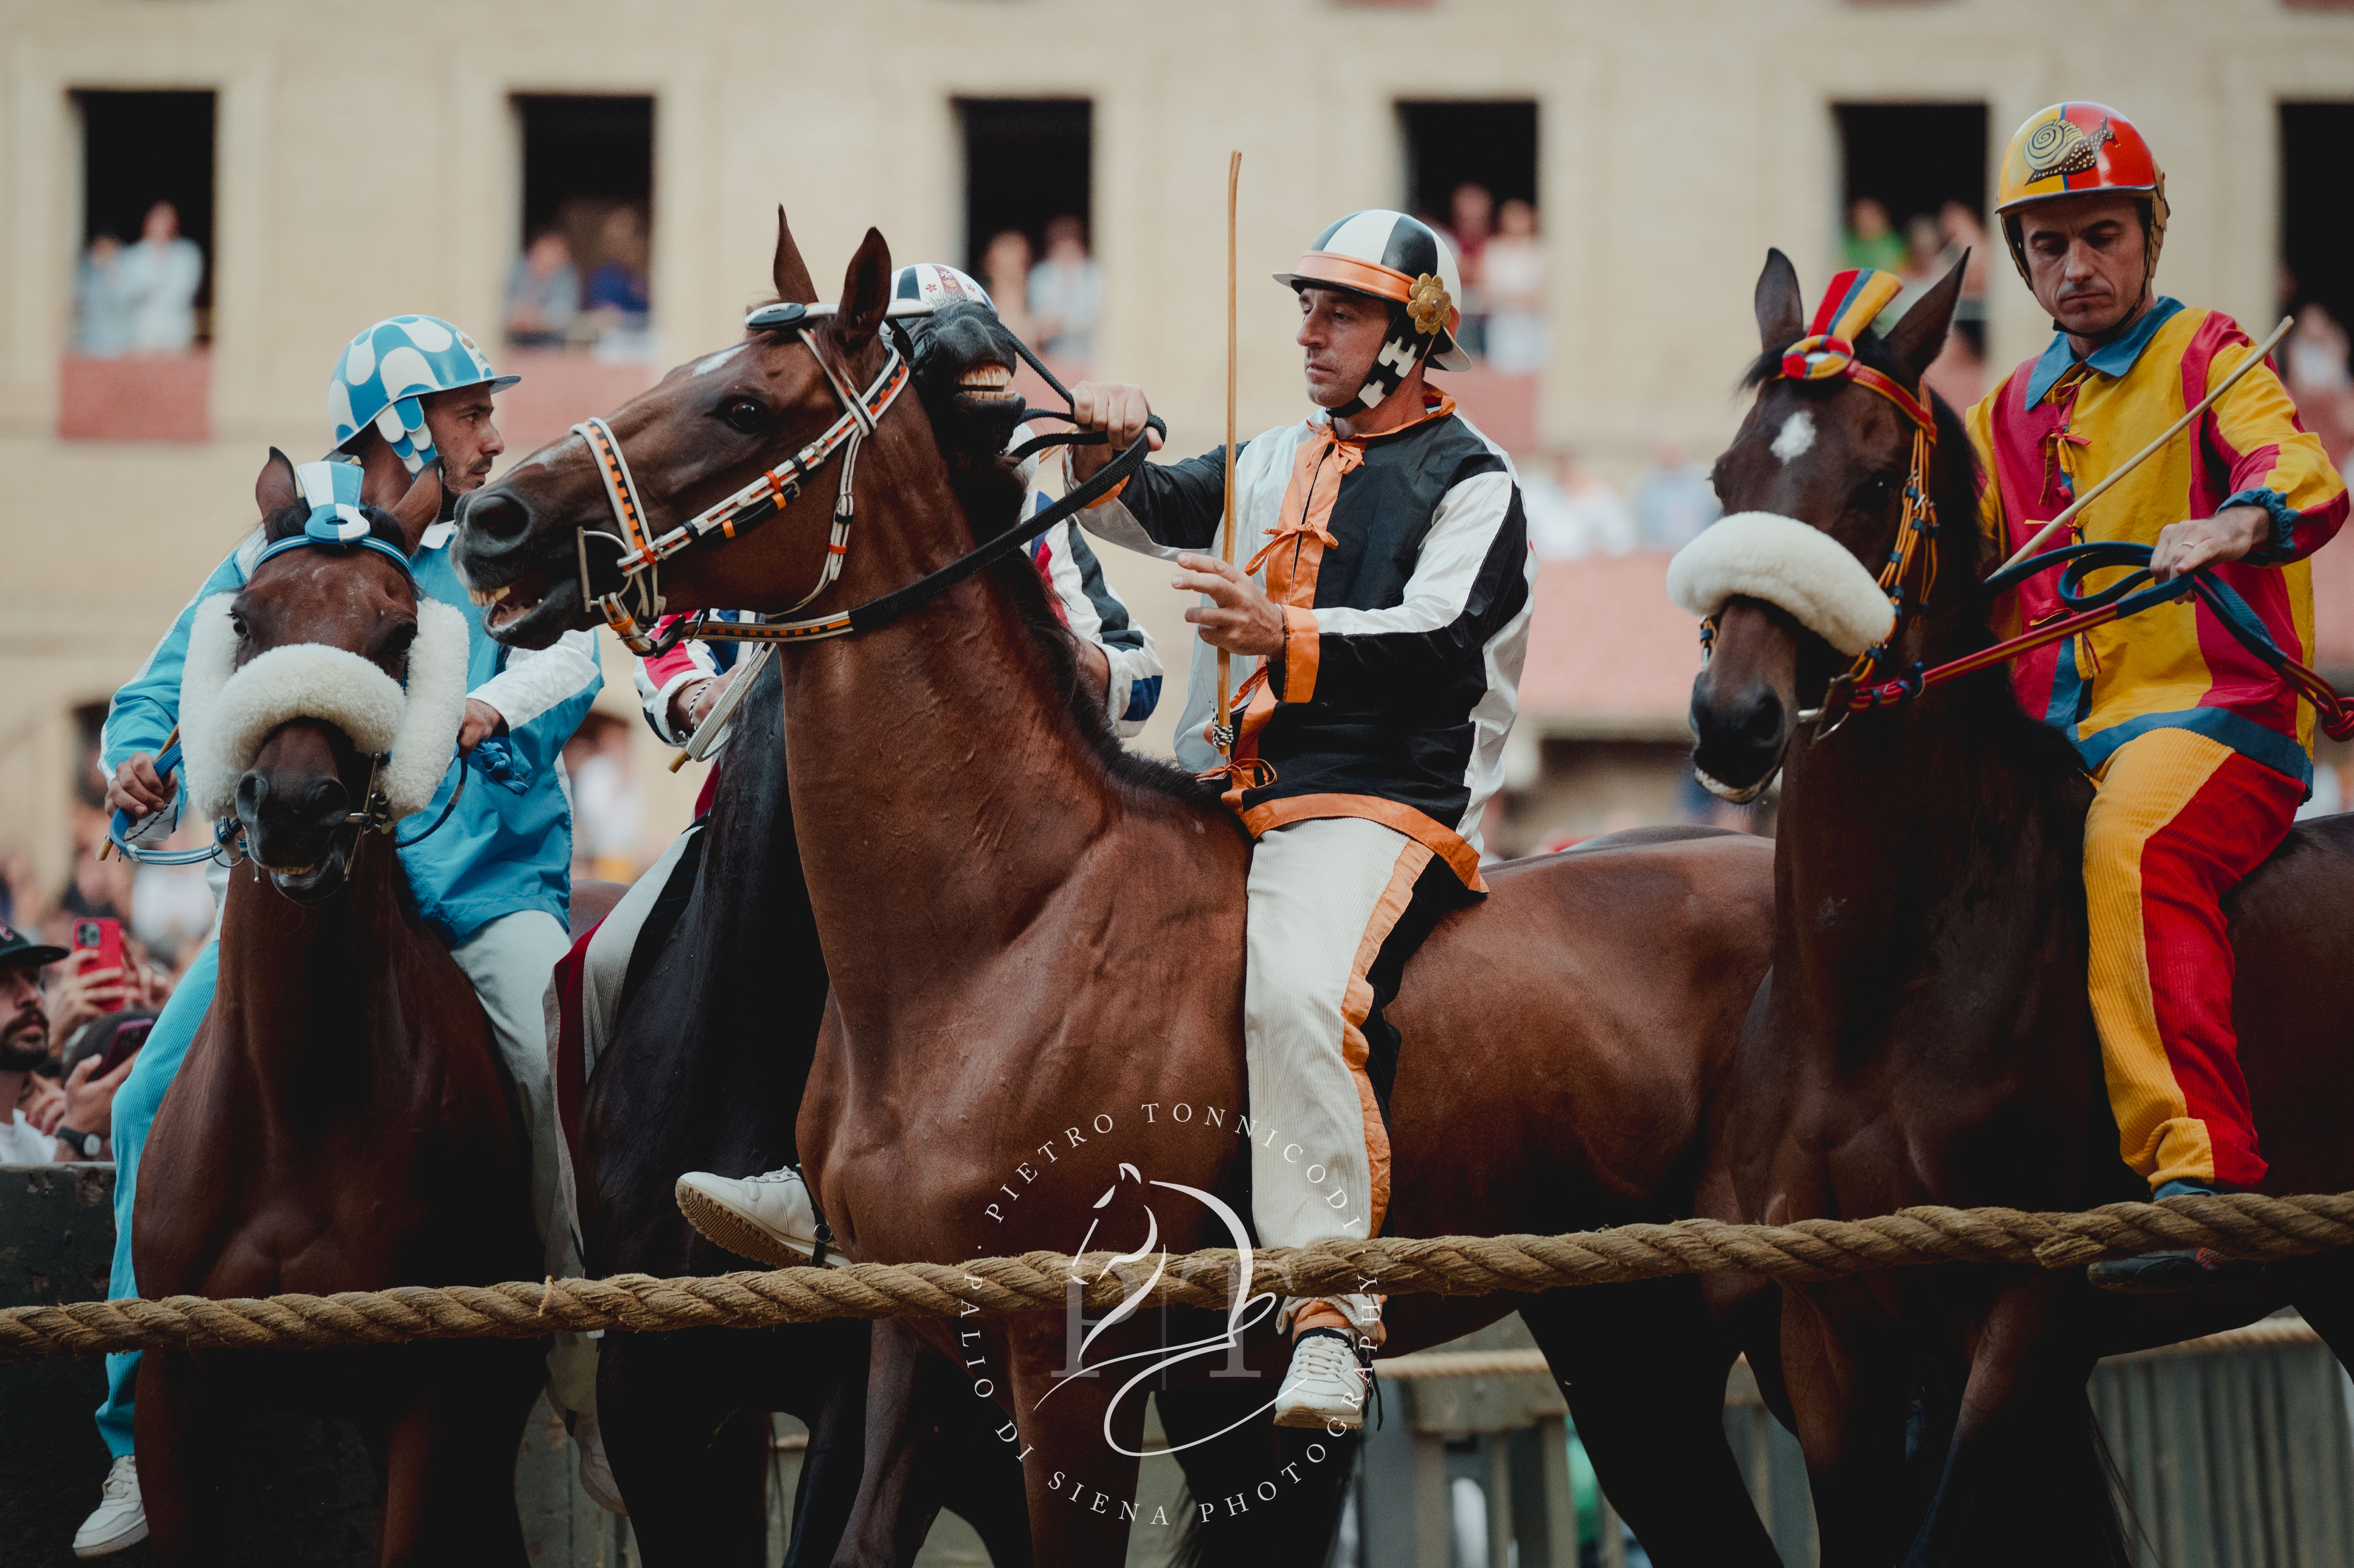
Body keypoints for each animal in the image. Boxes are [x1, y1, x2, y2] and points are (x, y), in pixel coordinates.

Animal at [459, 211, 1780, 1563]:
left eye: (740, 404)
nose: (496, 516)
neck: (1001, 929)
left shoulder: (1067, 1371)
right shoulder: (913, 1342)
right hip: (1631, 1336)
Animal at [1685, 247, 2354, 1563]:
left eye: (1872, 479)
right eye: (1725, 475)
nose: (1731, 716)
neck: (1875, 988)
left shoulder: (2030, 1304)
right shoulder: (1826, 1316)